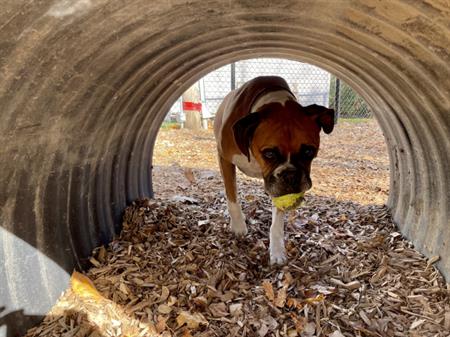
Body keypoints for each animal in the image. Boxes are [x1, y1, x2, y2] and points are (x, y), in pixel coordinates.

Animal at [214, 76, 334, 266]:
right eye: (269, 153)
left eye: (309, 151)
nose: (291, 175)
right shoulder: (225, 159)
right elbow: (232, 196)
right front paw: (239, 225)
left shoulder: (279, 189)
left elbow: (277, 222)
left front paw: (276, 249)